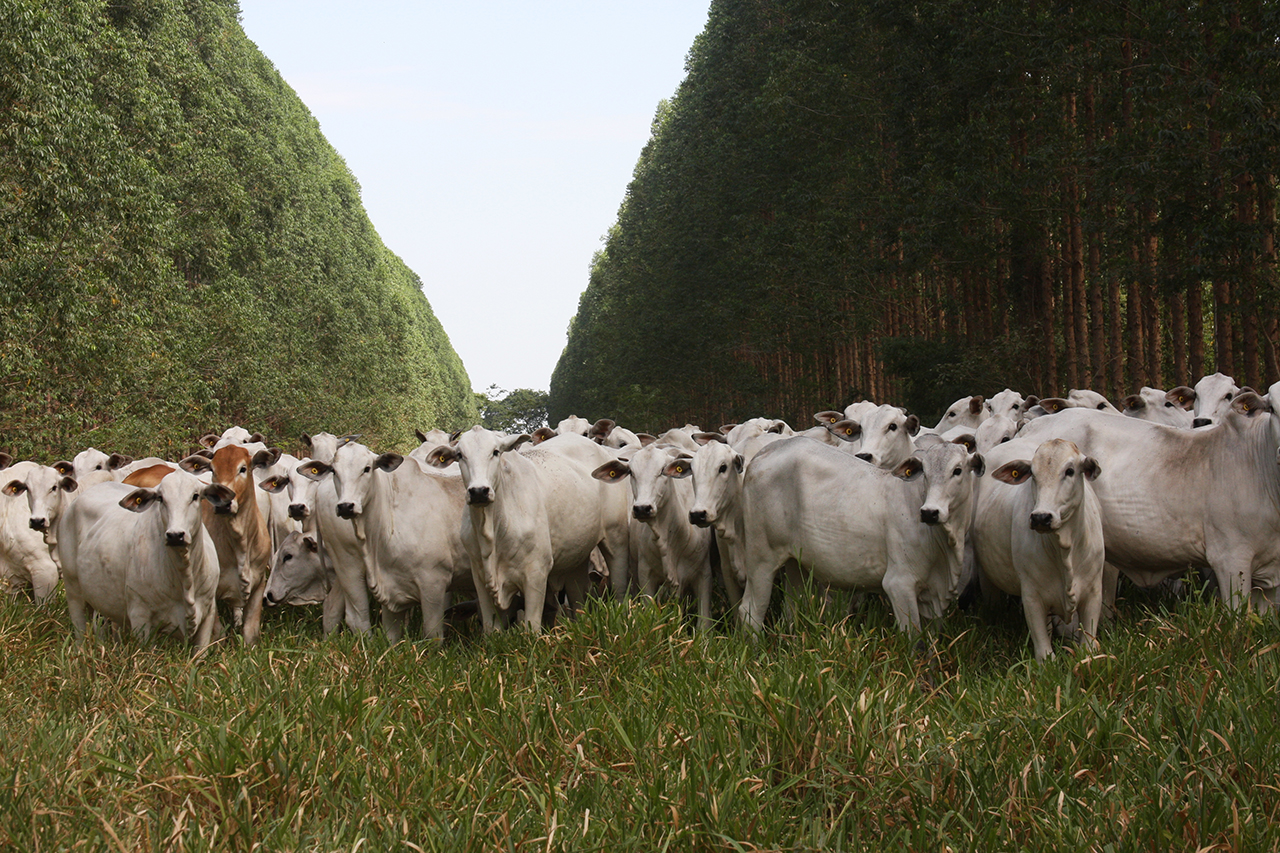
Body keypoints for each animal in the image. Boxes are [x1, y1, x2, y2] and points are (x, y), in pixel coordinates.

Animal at [57, 468, 224, 648]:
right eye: (160, 498)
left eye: (195, 496)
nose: (175, 535)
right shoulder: (140, 616)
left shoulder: (208, 613)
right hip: (72, 588)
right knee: (79, 628)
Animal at [427, 427, 632, 627]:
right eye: (460, 455)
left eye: (495, 452)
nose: (478, 491)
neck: (493, 530)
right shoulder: (480, 578)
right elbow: (490, 628)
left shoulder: (536, 574)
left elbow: (531, 625)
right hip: (577, 556)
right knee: (578, 598)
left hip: (616, 539)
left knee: (620, 587)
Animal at [737, 438, 983, 630]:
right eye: (926, 474)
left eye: (957, 470)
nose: (930, 512)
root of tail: (766, 451)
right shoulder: (899, 584)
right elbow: (915, 642)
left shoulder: (933, 598)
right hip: (762, 558)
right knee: (750, 611)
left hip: (795, 562)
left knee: (793, 608)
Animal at [972, 438, 1105, 655]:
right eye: (1032, 474)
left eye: (1070, 471)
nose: (1041, 517)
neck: (1064, 548)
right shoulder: (1032, 596)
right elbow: (1045, 652)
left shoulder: (1093, 592)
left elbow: (1088, 645)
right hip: (986, 573)